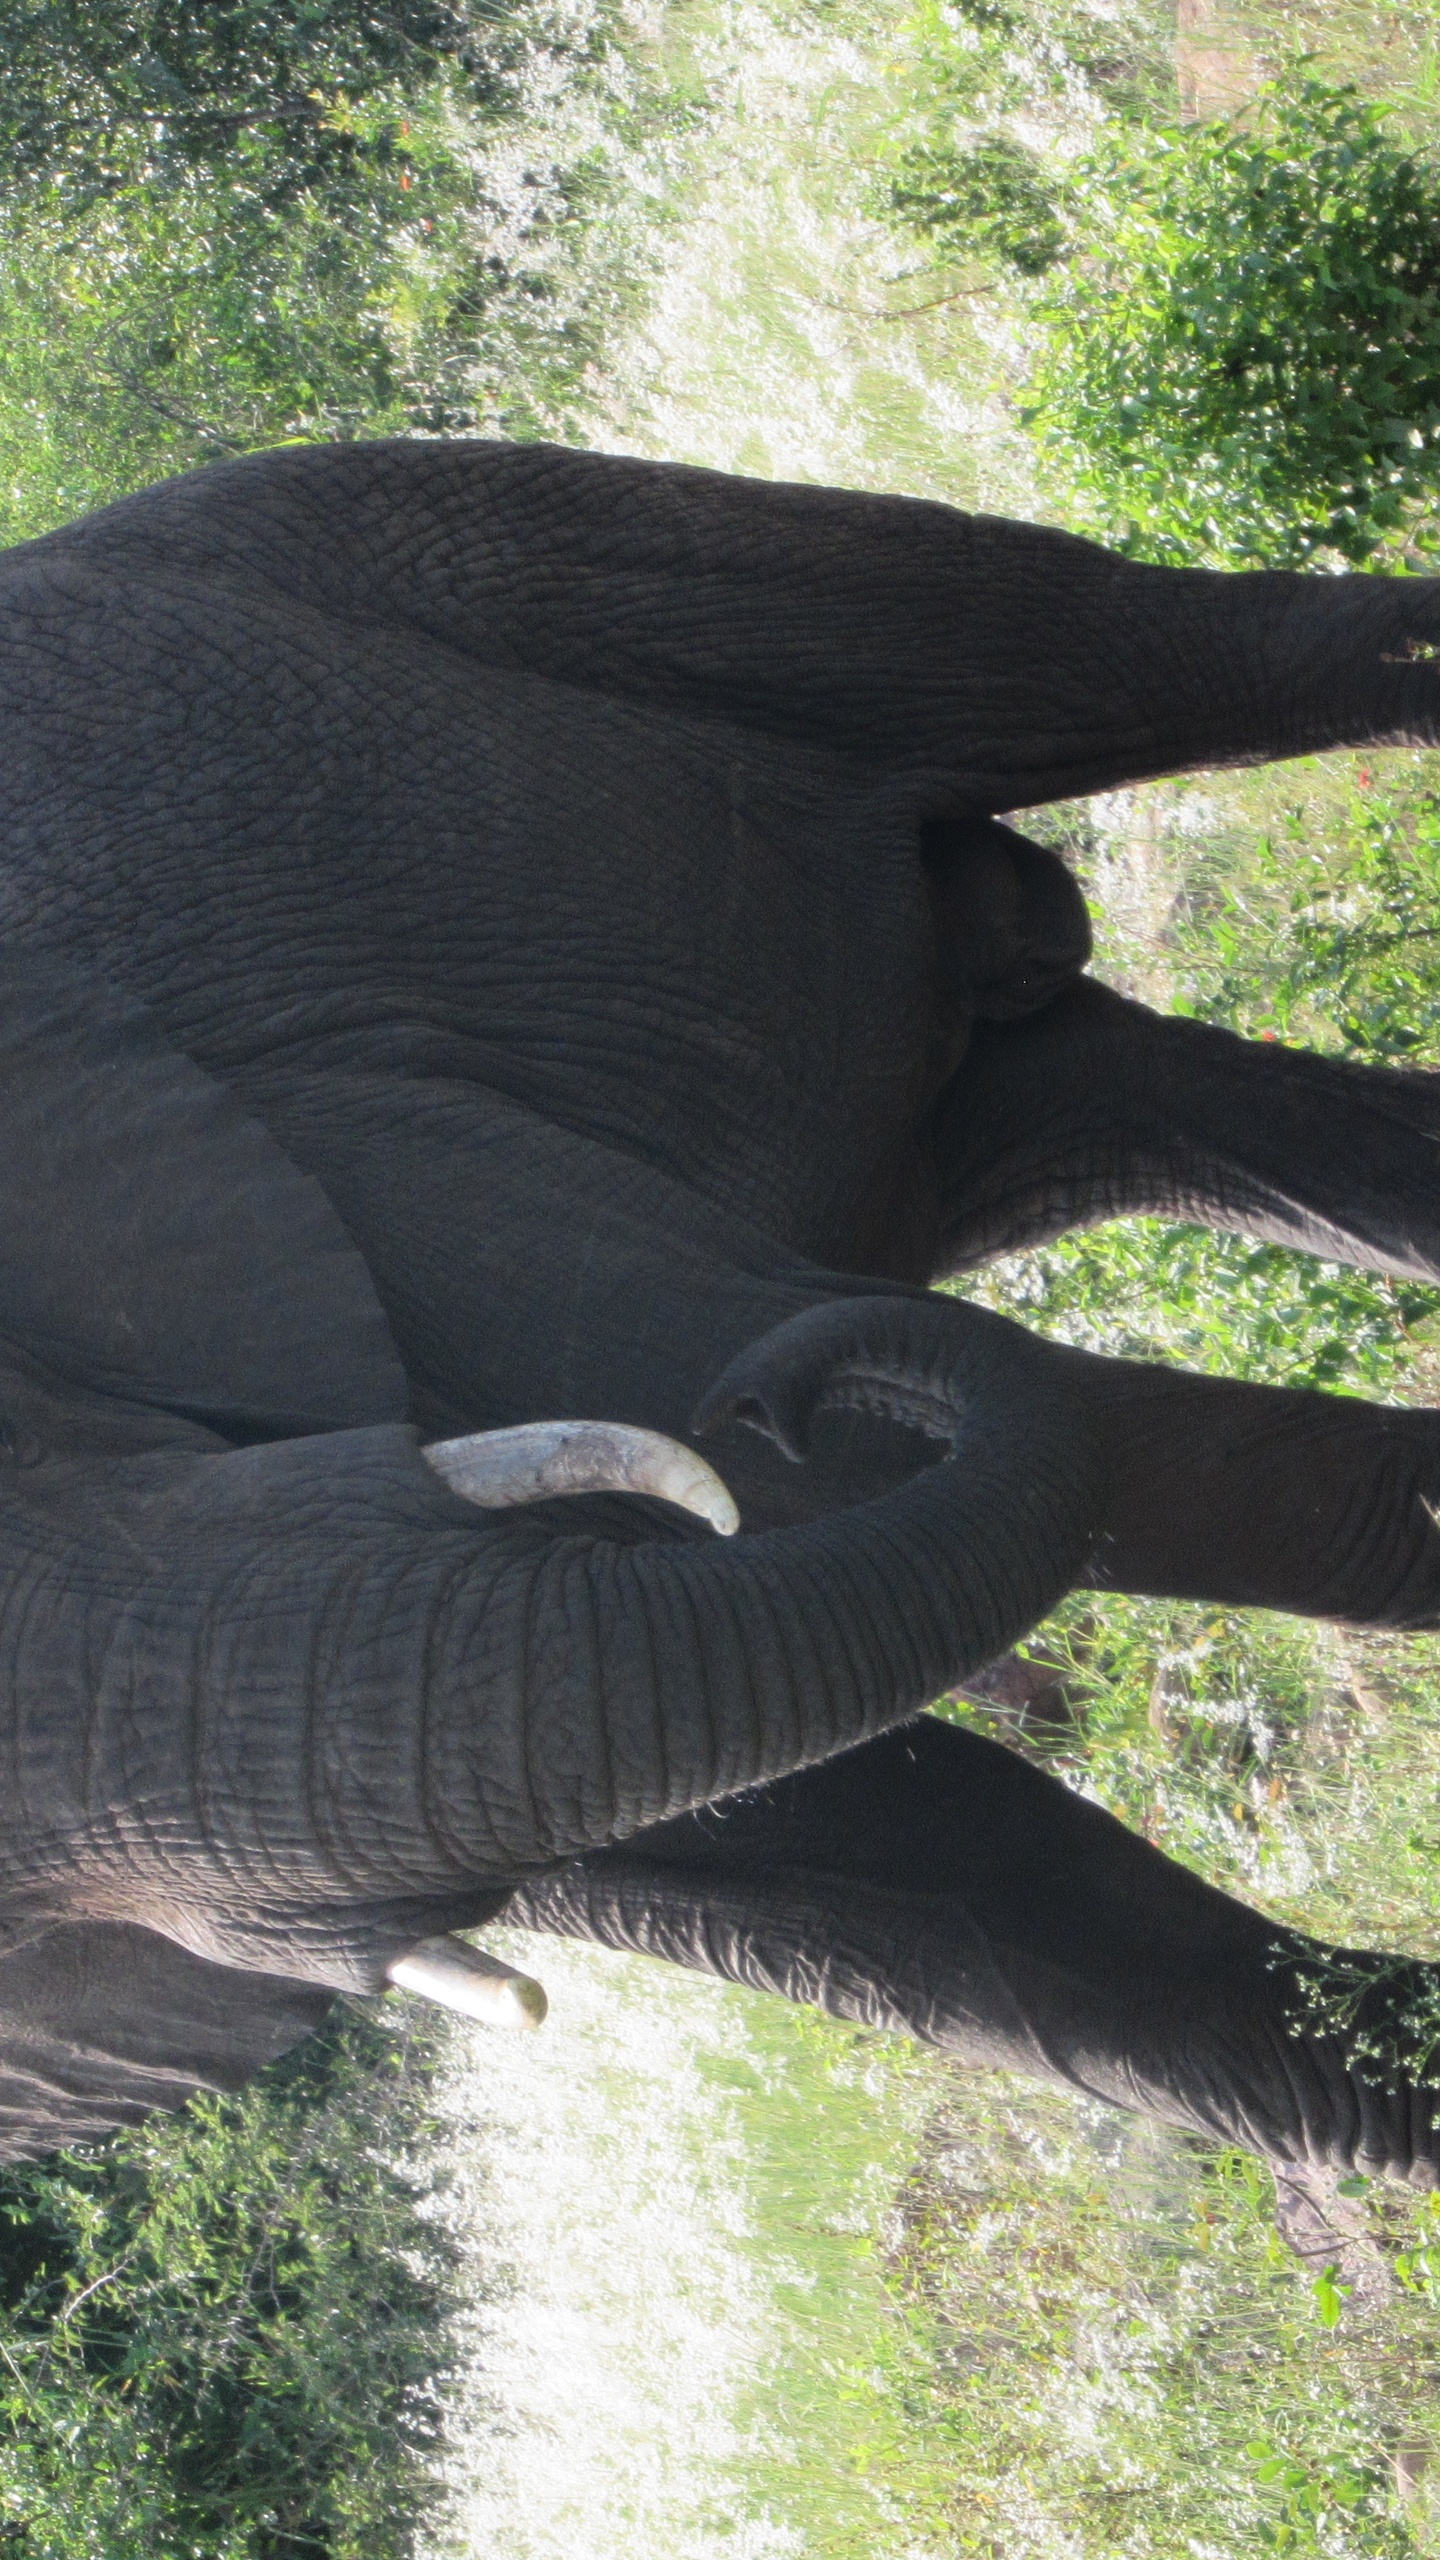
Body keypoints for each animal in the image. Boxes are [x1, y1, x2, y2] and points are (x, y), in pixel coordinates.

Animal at [0, 440, 1434, 2181]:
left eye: (16, 1442)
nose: (792, 1383)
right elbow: (915, 1881)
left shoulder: (295, 1113)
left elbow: (859, 1456)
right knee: (1160, 1109)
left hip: (435, 541)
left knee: (1119, 647)